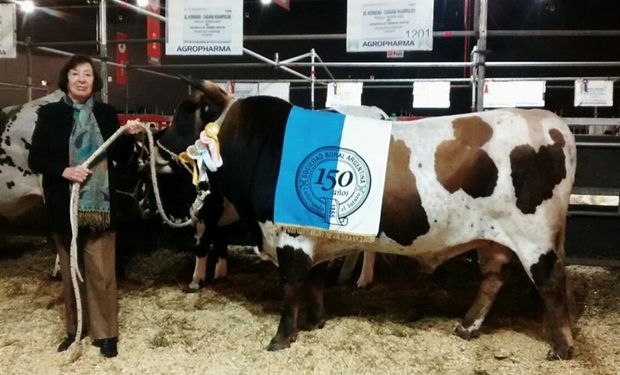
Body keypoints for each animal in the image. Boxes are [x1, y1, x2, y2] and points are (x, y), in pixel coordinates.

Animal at [160, 80, 576, 362]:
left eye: (184, 112)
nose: (160, 144)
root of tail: (550, 121)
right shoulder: (311, 238)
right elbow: (314, 281)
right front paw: (315, 322)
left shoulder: (289, 236)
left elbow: (292, 285)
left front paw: (281, 337)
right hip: (495, 239)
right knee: (493, 279)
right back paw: (466, 326)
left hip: (534, 237)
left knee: (552, 283)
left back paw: (562, 347)